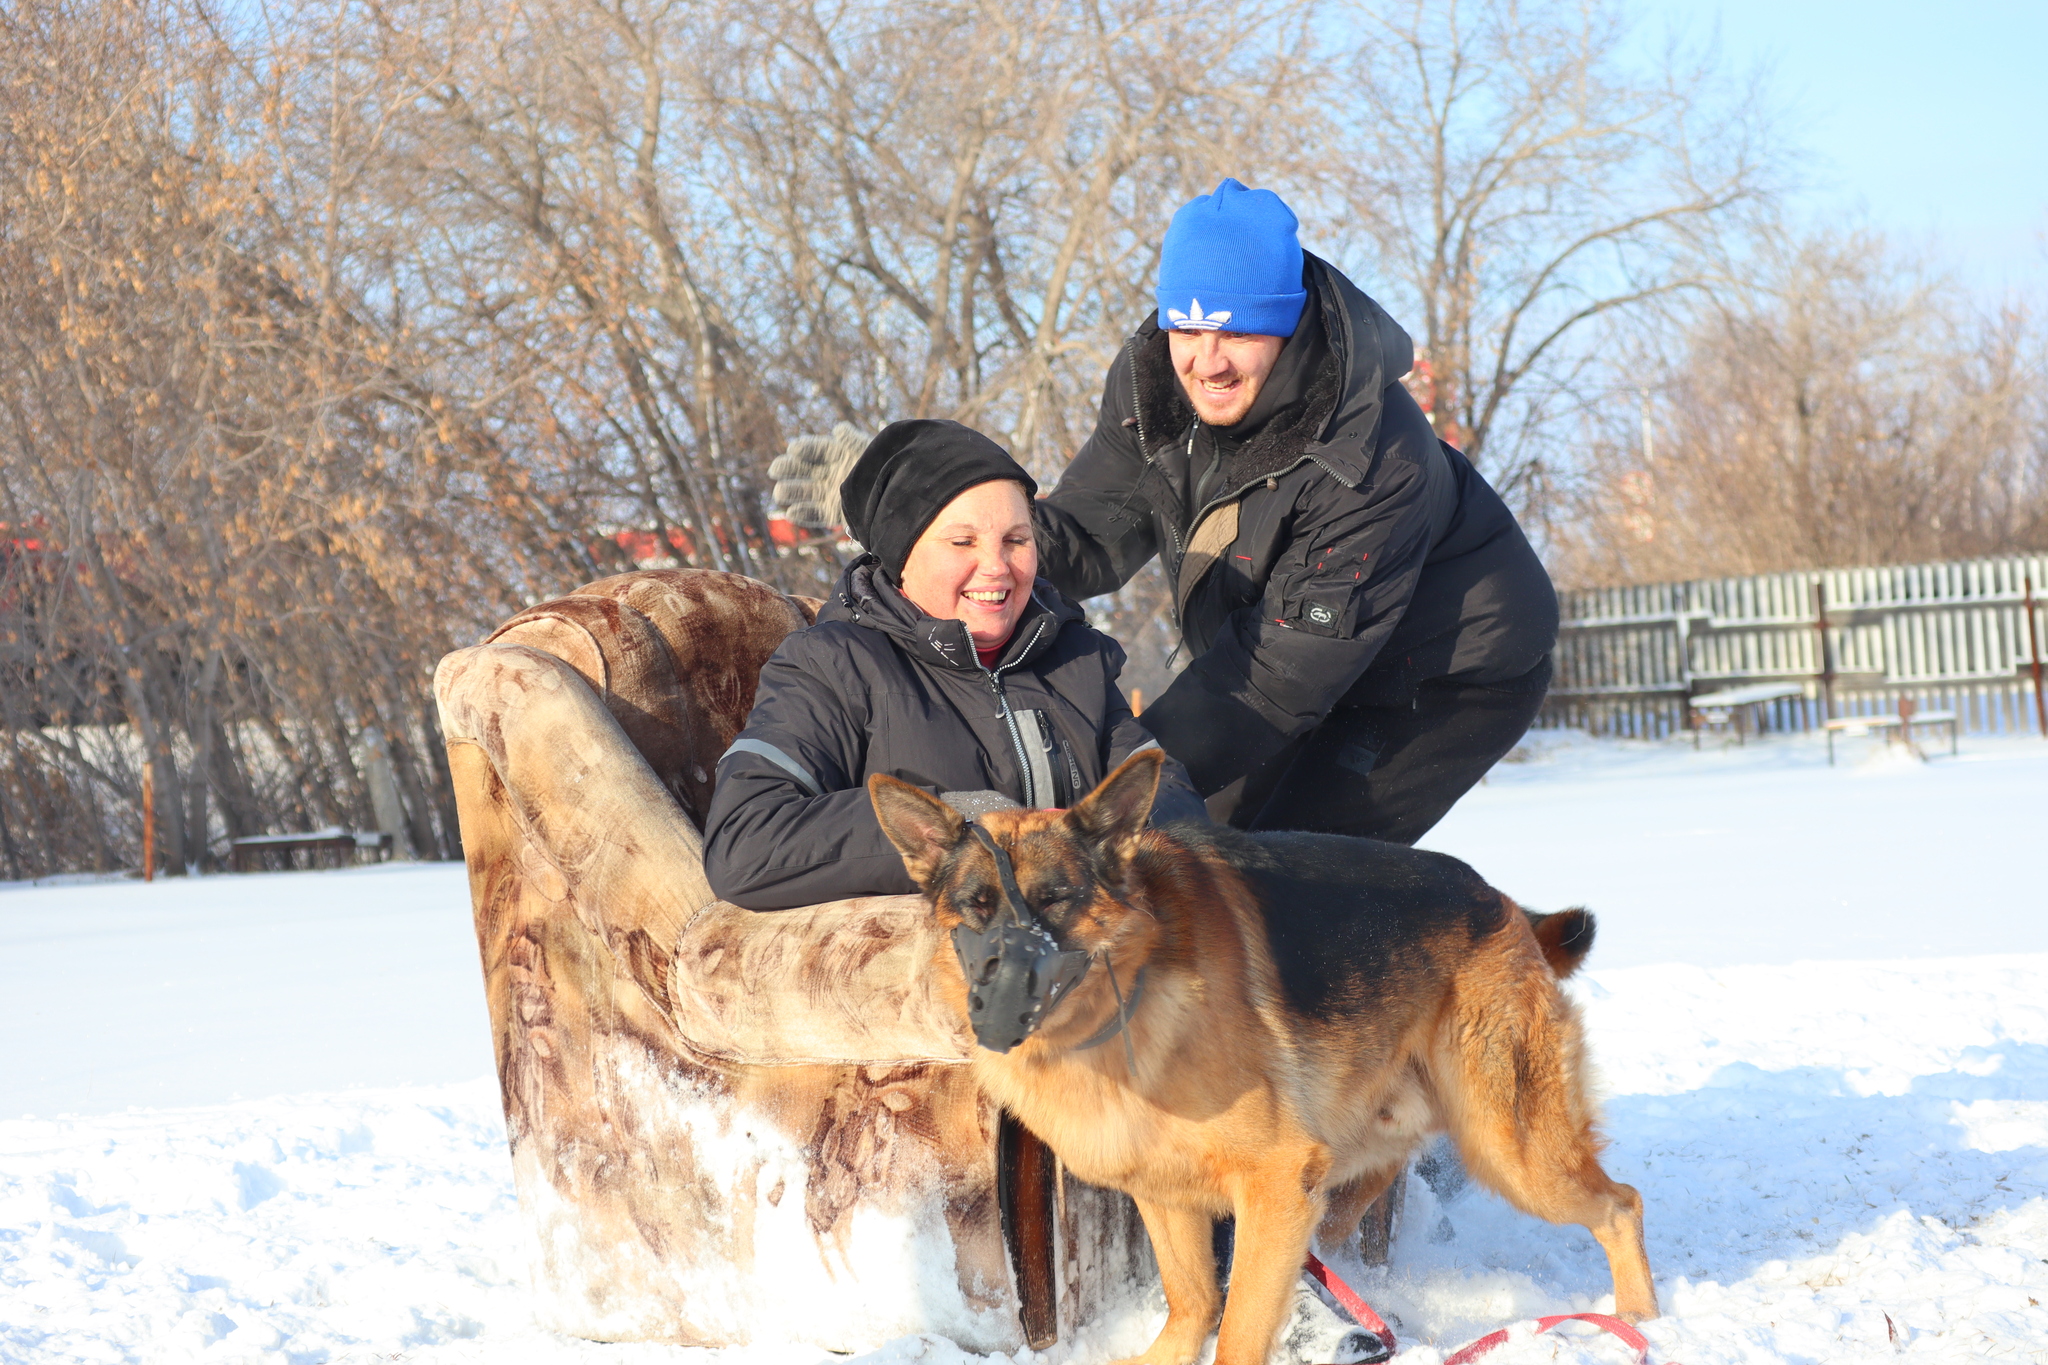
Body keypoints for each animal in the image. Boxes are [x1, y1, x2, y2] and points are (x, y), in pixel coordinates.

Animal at [872, 749, 1654, 1365]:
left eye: (1054, 899)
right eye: (977, 905)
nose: (998, 1005)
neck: (1124, 1001)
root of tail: (1500, 901)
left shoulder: (1275, 1186)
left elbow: (1240, 1327)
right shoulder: (1168, 1189)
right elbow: (1193, 1300)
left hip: (1511, 1148)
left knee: (1621, 1203)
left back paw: (1641, 1320)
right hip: (1366, 1147)